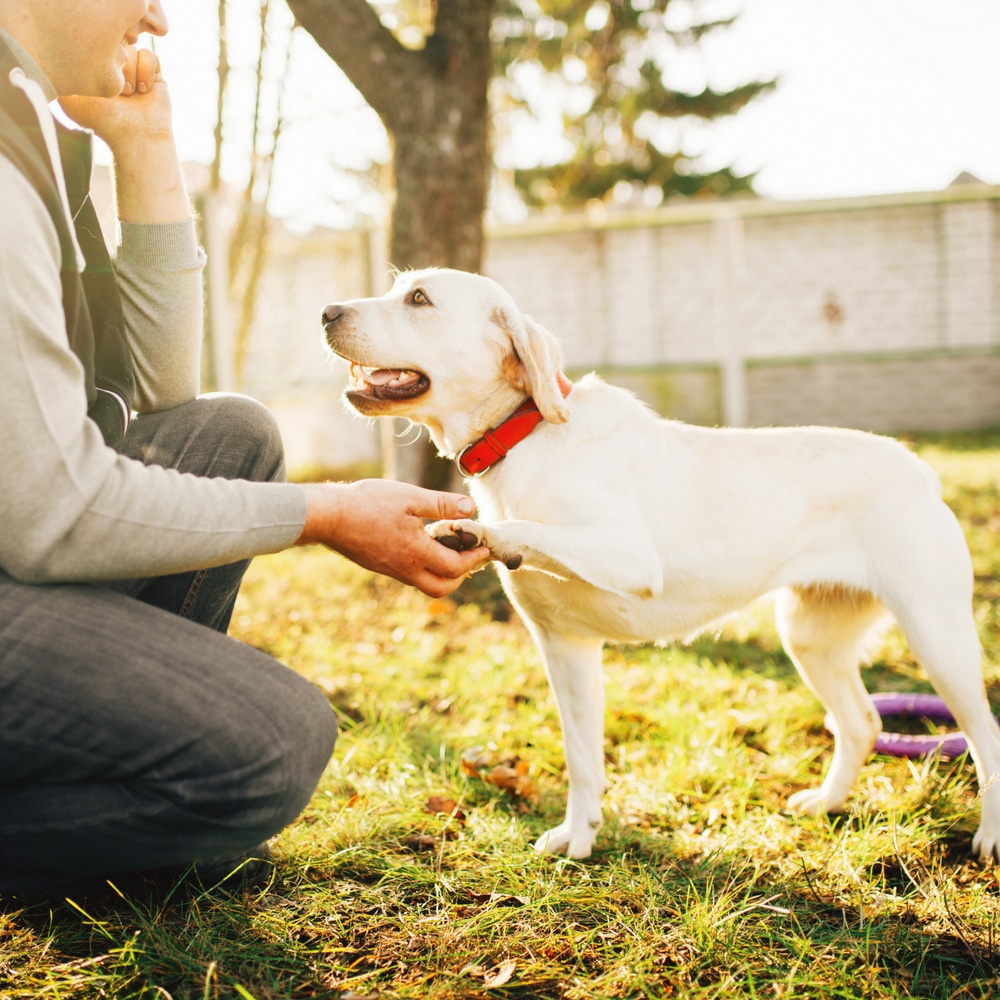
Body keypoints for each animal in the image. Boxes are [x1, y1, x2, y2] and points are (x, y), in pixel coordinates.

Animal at [320, 270, 1000, 864]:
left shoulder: (627, 555)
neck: (525, 436)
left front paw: (482, 532)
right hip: (811, 639)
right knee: (860, 723)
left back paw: (989, 839)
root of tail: (917, 468)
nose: (326, 312)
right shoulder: (564, 648)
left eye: (419, 298)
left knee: (985, 737)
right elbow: (582, 758)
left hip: (938, 639)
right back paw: (825, 804)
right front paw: (579, 837)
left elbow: (532, 530)